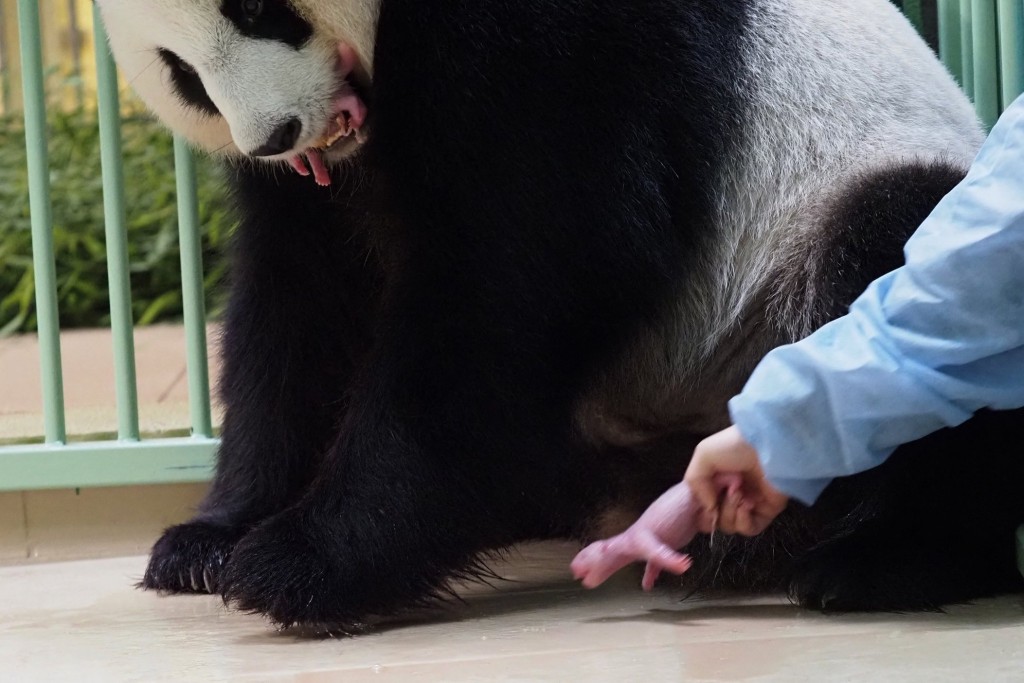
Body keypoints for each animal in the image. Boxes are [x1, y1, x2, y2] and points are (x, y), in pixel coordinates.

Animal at [96, 0, 1024, 629]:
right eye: (182, 73)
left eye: (260, 7)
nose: (277, 133)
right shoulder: (315, 193)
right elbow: (303, 302)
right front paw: (214, 538)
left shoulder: (570, 41)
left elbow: (527, 264)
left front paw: (307, 560)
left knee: (906, 254)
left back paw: (887, 558)